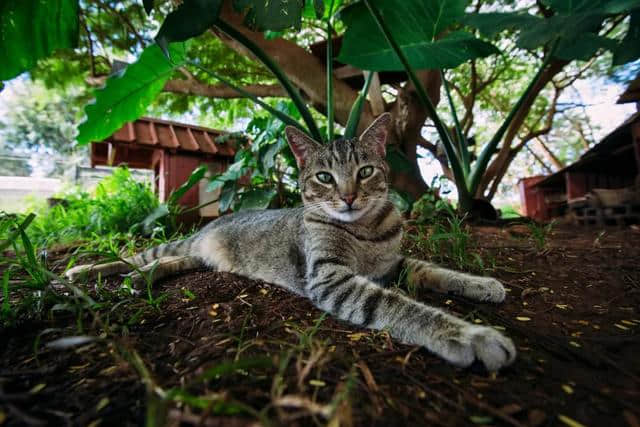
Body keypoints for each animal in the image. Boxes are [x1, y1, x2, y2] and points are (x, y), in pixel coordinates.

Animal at [66, 113, 516, 372]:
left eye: (365, 171)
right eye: (324, 178)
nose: (348, 196)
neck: (367, 231)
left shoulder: (393, 264)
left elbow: (434, 270)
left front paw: (480, 284)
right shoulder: (331, 278)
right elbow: (401, 307)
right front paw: (470, 336)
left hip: (194, 260)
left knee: (161, 265)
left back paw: (138, 281)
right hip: (176, 245)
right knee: (135, 256)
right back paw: (86, 271)